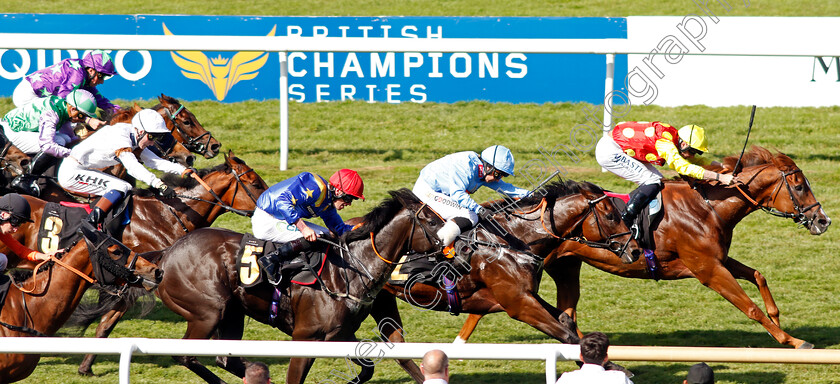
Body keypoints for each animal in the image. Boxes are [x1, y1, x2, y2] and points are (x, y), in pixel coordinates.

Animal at [142, 189, 446, 384]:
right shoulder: (305, 337)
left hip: (232, 314)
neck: (348, 270)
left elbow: (370, 367)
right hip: (207, 313)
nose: (453, 249)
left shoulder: (340, 335)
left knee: (226, 360)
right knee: (185, 355)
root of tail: (166, 254)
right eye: (432, 221)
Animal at [370, 181, 640, 378]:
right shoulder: (518, 304)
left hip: (380, 301)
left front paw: (612, 365)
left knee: (399, 348)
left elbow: (567, 323)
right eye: (611, 216)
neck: (513, 240)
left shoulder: (526, 295)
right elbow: (567, 335)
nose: (636, 250)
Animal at [456, 146, 832, 348]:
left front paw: (778, 317)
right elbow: (749, 307)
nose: (823, 220)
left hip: (564, 267)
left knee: (563, 311)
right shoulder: (708, 270)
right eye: (800, 186)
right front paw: (791, 341)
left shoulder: (717, 259)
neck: (707, 206)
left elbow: (758, 275)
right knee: (491, 307)